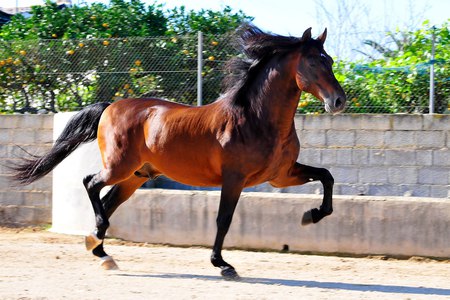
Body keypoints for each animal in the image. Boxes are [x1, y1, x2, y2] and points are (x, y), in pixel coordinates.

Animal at [12, 24, 346, 278]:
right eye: (314, 62)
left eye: (329, 60)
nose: (339, 101)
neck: (255, 117)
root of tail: (110, 106)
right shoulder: (235, 178)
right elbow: (224, 219)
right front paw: (222, 265)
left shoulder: (281, 175)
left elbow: (327, 176)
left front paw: (312, 215)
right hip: (119, 167)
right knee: (91, 183)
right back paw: (98, 243)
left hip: (135, 176)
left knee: (106, 202)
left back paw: (101, 251)